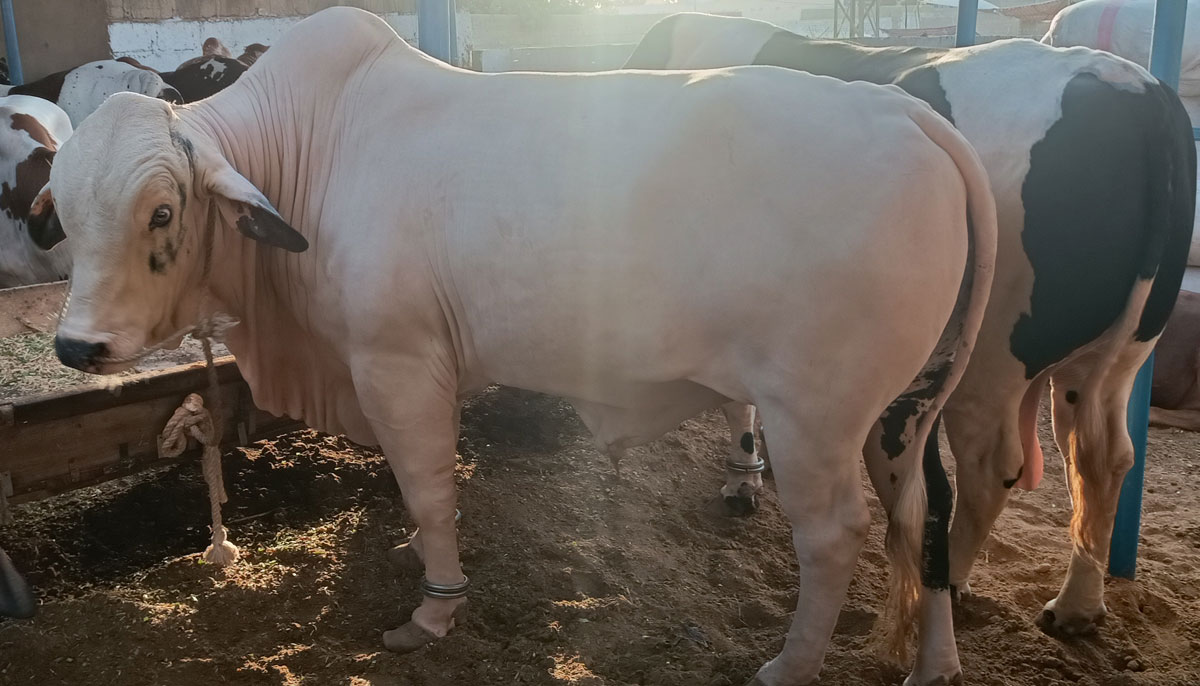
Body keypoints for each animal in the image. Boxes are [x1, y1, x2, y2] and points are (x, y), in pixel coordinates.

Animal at [32, 6, 998, 686]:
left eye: (162, 211)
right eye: (65, 212)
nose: (78, 347)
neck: (313, 150)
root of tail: (906, 113)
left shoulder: (396, 362)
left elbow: (427, 487)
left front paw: (431, 612)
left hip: (815, 417)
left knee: (835, 537)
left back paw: (788, 665)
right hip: (902, 414)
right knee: (928, 515)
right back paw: (935, 661)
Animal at [628, 10, 1200, 676]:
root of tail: (1133, 87)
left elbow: (733, 396)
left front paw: (742, 477)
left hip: (991, 354)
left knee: (987, 468)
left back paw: (954, 580)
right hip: (1116, 354)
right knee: (1101, 458)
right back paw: (1075, 607)